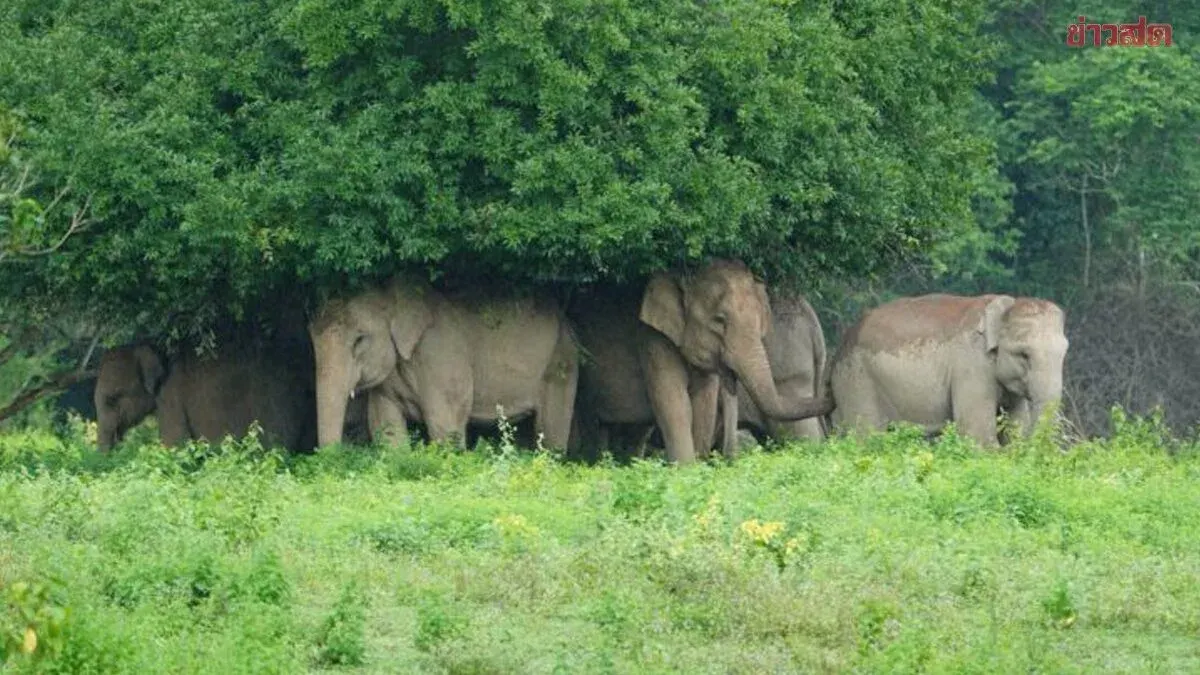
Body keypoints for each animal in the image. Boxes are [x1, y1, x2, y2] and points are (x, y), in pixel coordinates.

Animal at [307, 277, 580, 450]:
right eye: (310, 337)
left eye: (360, 339)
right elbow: (385, 425)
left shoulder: (441, 355)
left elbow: (444, 423)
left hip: (561, 360)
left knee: (550, 429)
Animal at [569, 259, 833, 465]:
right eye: (719, 320)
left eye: (760, 323)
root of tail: (812, 317)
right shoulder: (652, 338)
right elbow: (677, 404)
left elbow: (699, 405)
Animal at [826, 293, 1068, 447]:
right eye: (1023, 354)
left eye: (1064, 353)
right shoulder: (971, 365)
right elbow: (977, 434)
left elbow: (1014, 427)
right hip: (856, 380)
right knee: (867, 437)